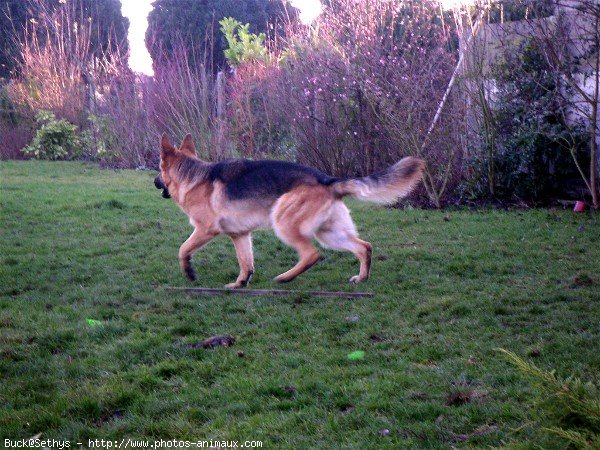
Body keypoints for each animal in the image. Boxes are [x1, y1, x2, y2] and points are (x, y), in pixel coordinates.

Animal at [157, 134, 424, 288]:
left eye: (158, 169)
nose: (154, 181)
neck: (193, 175)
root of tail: (327, 180)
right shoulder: (240, 236)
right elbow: (246, 263)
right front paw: (240, 284)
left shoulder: (205, 230)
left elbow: (183, 249)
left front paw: (189, 272)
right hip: (330, 234)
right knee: (363, 247)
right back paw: (362, 278)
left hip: (284, 224)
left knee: (312, 254)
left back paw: (286, 277)